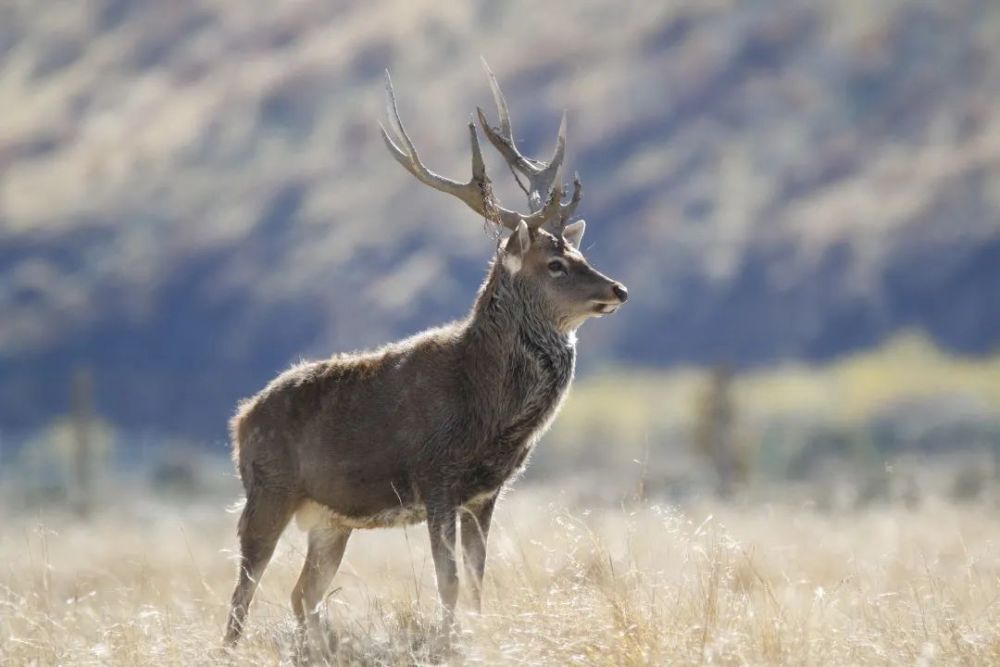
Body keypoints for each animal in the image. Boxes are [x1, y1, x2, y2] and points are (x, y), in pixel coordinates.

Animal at [225, 60, 624, 656]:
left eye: (579, 252)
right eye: (555, 264)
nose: (618, 289)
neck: (485, 410)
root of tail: (240, 420)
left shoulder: (484, 492)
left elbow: (479, 579)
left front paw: (478, 635)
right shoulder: (436, 477)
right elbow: (449, 580)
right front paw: (450, 641)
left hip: (330, 519)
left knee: (303, 593)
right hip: (267, 489)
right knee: (243, 590)